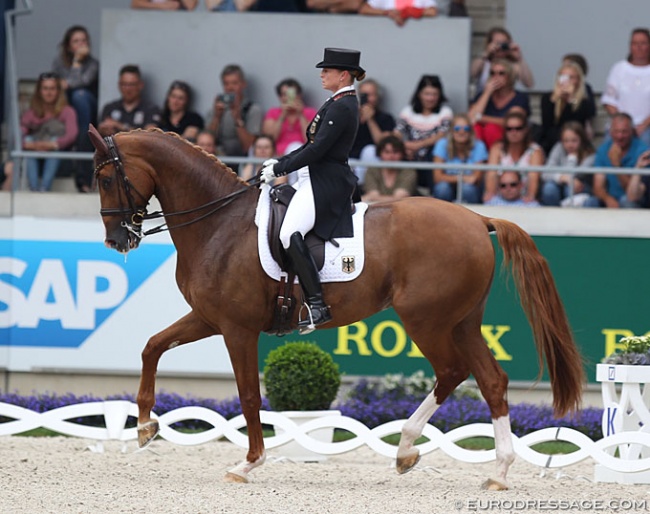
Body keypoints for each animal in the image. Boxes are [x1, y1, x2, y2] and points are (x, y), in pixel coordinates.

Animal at [87, 127, 584, 488]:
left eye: (106, 178)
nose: (116, 241)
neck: (219, 223)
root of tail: (479, 219)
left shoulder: (237, 328)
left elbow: (248, 394)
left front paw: (249, 463)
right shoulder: (209, 318)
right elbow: (152, 346)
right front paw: (145, 426)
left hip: (427, 320)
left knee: (451, 372)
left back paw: (407, 450)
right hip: (462, 321)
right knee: (491, 381)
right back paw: (495, 472)